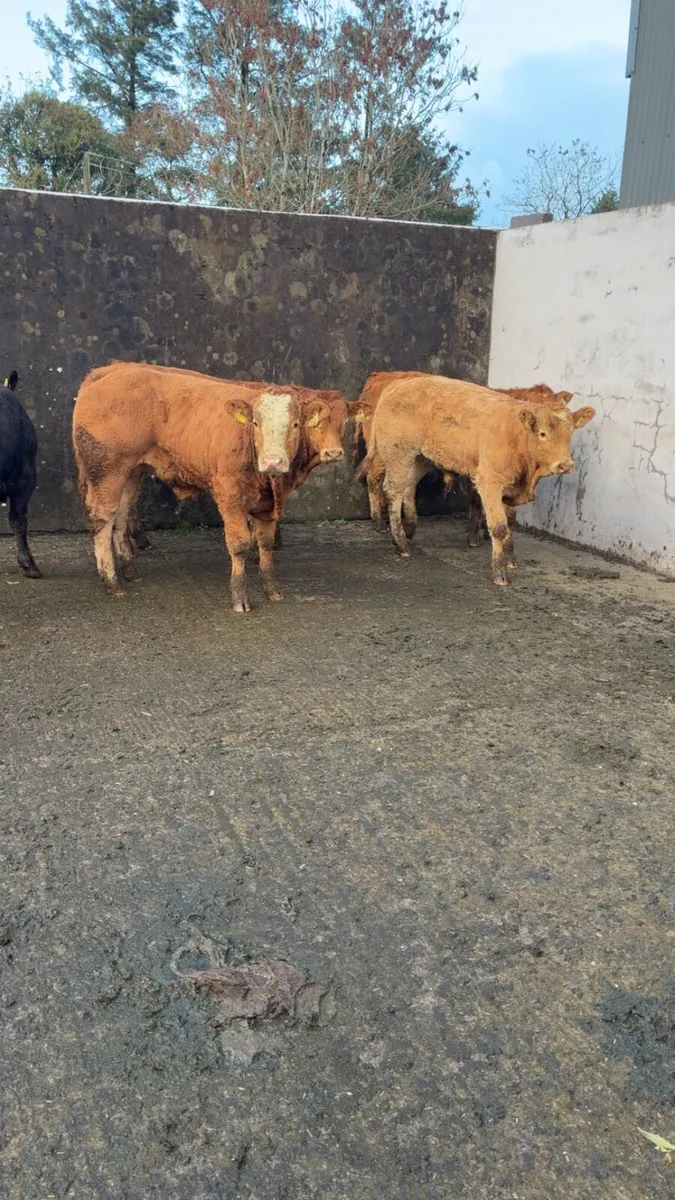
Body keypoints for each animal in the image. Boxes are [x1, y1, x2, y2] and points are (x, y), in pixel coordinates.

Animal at [73, 363, 347, 611]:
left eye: (295, 425)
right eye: (255, 424)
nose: (273, 461)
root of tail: (103, 373)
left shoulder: (267, 503)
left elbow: (266, 543)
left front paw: (272, 589)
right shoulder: (230, 494)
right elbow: (239, 544)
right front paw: (239, 597)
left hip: (132, 472)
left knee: (121, 516)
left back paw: (130, 570)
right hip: (107, 471)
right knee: (102, 519)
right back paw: (112, 581)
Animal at [360, 374, 594, 586]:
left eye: (571, 432)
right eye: (543, 433)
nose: (565, 464)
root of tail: (397, 384)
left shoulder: (512, 487)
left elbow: (510, 524)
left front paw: (510, 559)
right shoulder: (489, 482)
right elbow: (499, 527)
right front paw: (499, 573)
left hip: (421, 457)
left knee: (408, 487)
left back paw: (409, 530)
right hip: (398, 452)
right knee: (392, 490)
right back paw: (400, 543)